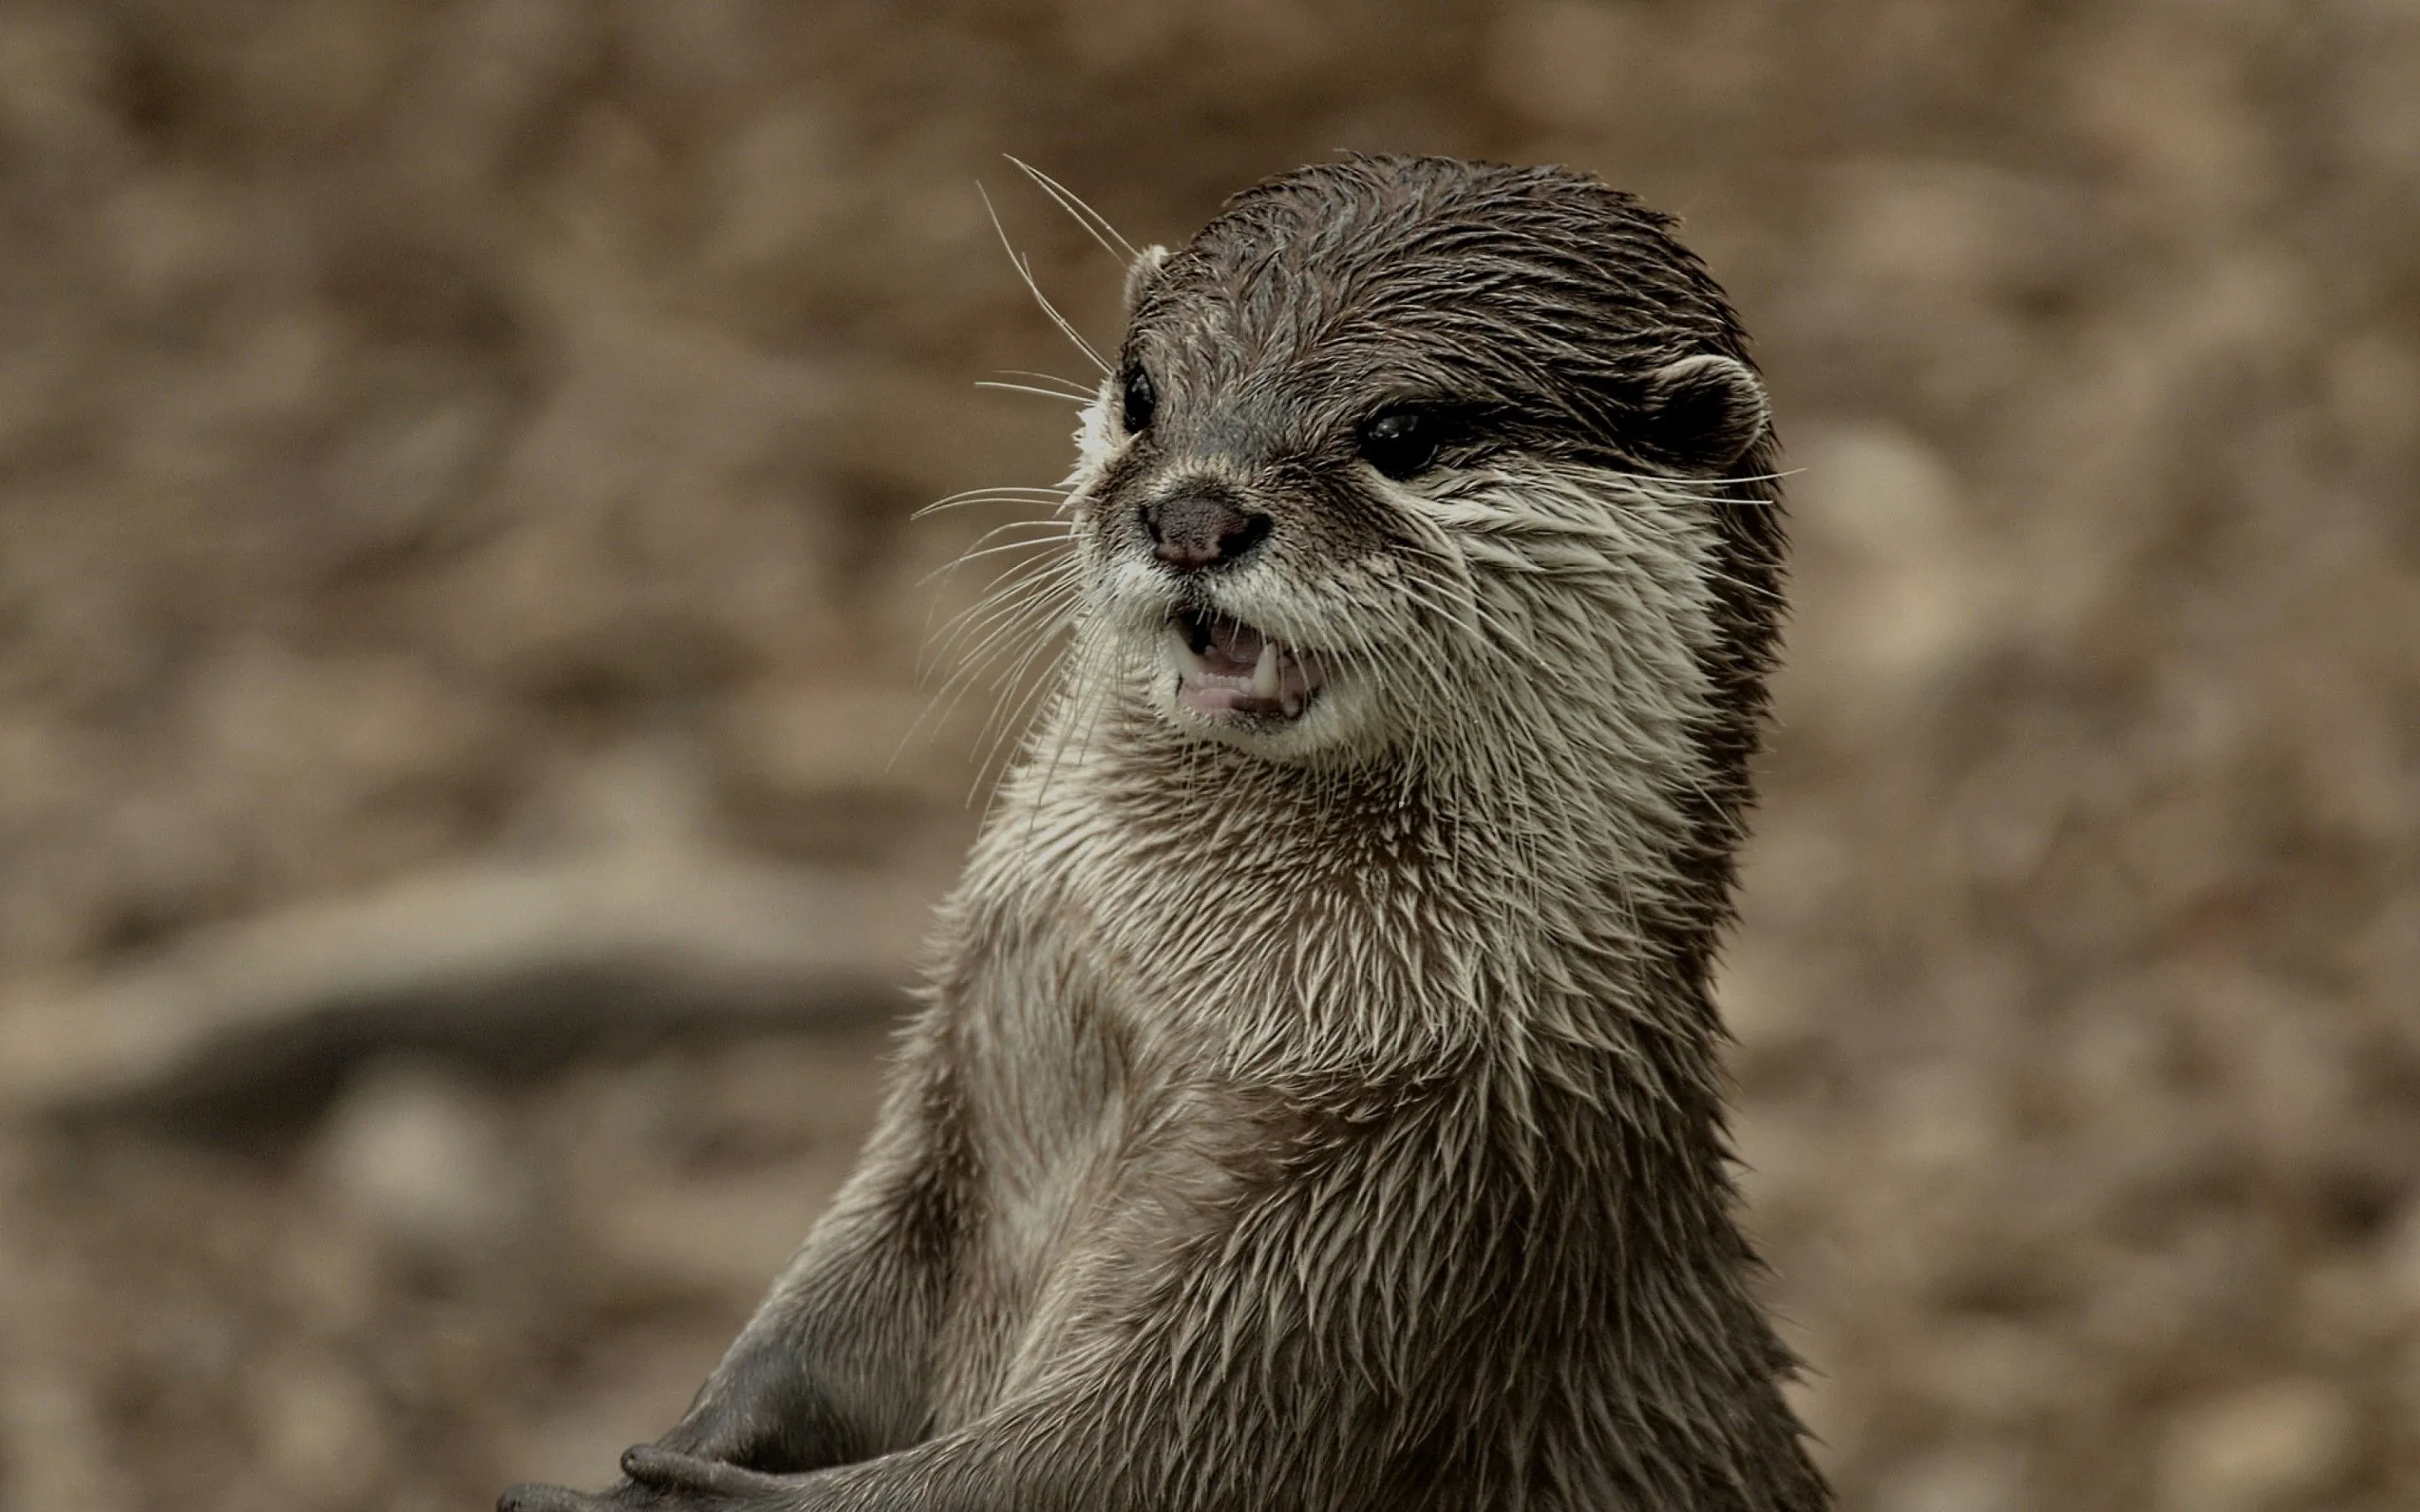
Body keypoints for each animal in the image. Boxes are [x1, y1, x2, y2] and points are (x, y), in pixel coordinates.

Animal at [501, 156, 1826, 1511]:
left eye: (1402, 435)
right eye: (1143, 393)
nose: (1193, 516)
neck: (1183, 997)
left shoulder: (1436, 1203)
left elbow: (1110, 1456)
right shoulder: (958, 1078)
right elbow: (834, 1301)